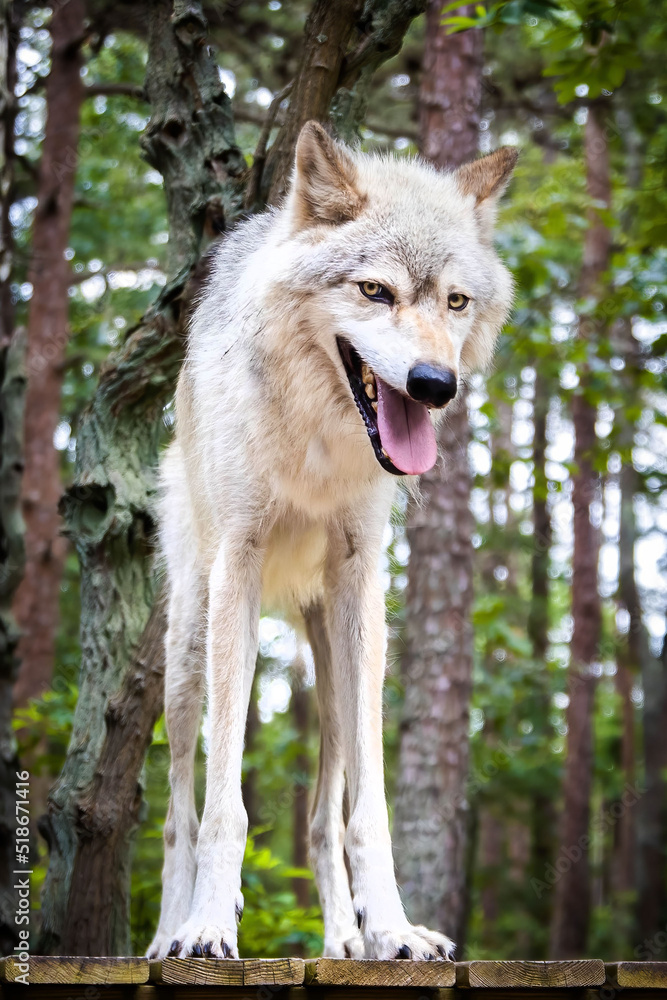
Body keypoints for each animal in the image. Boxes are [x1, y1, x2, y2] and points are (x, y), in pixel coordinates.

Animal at [147, 121, 517, 962]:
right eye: (374, 291)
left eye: (455, 300)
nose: (435, 384)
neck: (318, 436)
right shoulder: (239, 568)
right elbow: (222, 807)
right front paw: (209, 926)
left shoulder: (361, 583)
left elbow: (365, 813)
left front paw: (392, 930)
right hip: (188, 651)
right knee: (178, 812)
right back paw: (167, 932)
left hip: (332, 671)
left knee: (322, 820)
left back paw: (348, 942)